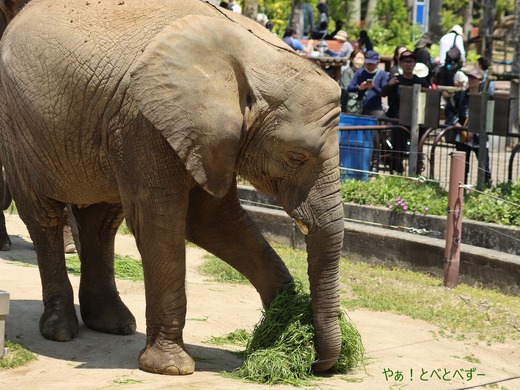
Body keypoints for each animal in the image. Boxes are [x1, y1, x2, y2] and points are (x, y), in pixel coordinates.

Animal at [0, 0, 348, 374]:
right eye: (296, 157)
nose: (320, 365)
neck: (256, 56)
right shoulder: (143, 122)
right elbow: (161, 224)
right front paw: (170, 367)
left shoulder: (207, 138)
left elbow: (213, 222)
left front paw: (283, 321)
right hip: (19, 130)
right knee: (43, 218)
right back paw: (61, 331)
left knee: (101, 223)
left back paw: (113, 323)